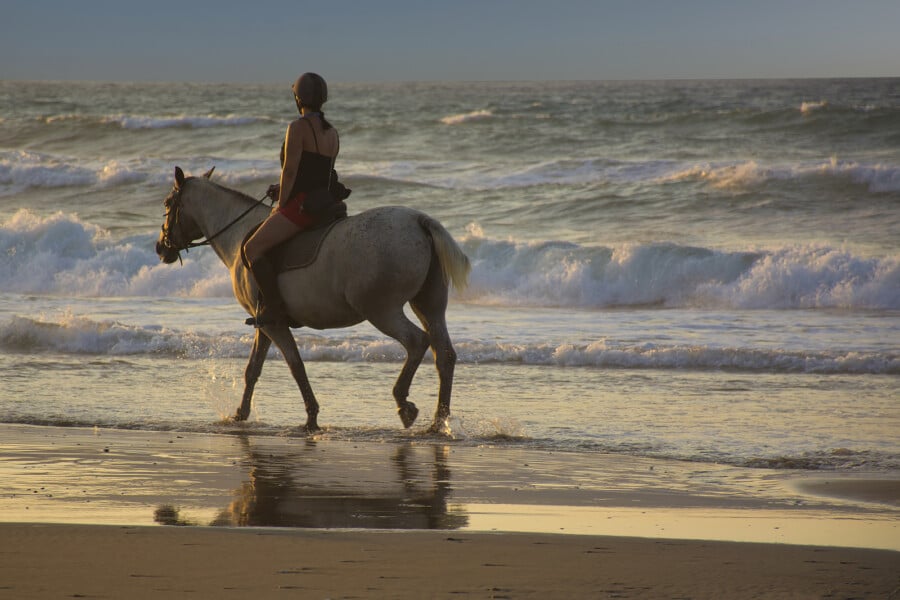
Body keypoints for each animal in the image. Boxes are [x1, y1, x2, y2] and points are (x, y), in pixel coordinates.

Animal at [156, 166, 474, 434]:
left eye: (168, 205)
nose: (161, 248)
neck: (239, 237)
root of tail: (418, 221)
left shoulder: (273, 325)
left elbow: (295, 365)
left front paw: (311, 417)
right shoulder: (265, 324)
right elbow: (253, 370)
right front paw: (240, 414)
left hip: (381, 310)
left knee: (417, 342)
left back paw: (404, 404)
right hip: (428, 305)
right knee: (444, 354)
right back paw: (439, 422)